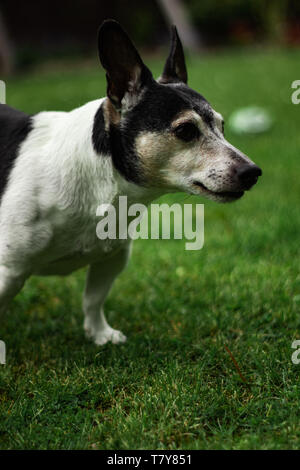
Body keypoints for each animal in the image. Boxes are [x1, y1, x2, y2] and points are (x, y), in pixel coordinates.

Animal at [0, 20, 260, 346]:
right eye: (186, 130)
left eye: (222, 127)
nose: (252, 171)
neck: (99, 177)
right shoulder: (8, 273)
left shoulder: (111, 258)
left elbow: (93, 299)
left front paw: (99, 334)